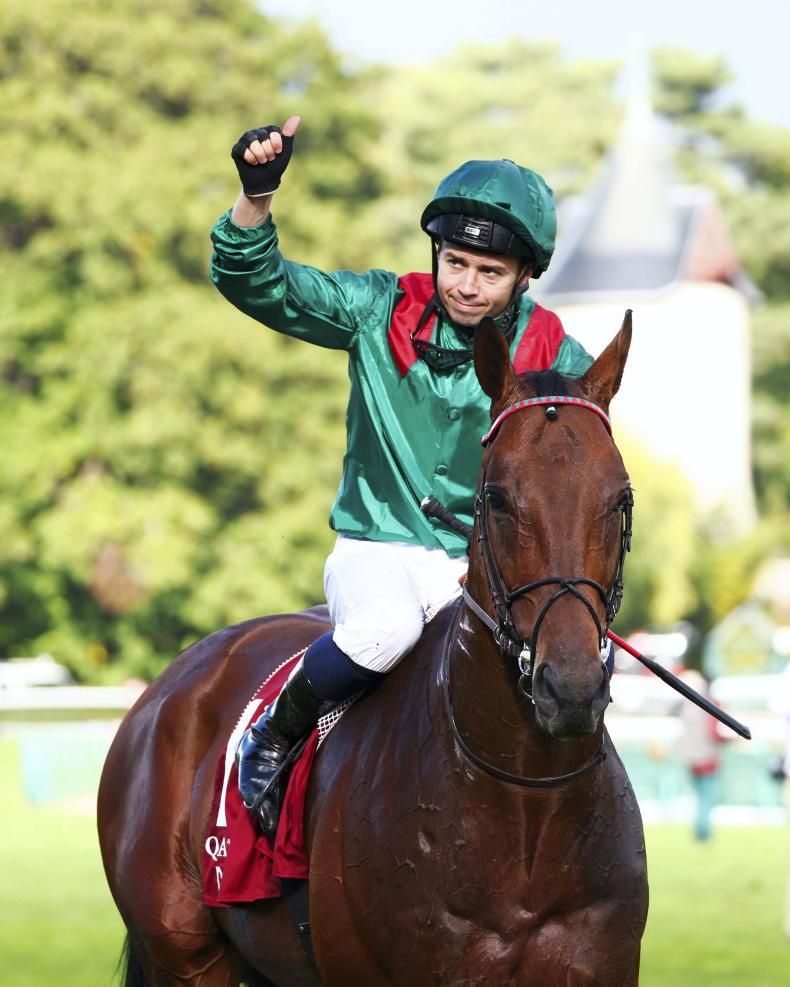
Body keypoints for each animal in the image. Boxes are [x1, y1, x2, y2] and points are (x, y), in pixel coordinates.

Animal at [98, 313, 648, 985]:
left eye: (620, 498)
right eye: (496, 498)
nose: (569, 688)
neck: (523, 806)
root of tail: (170, 684)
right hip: (186, 958)